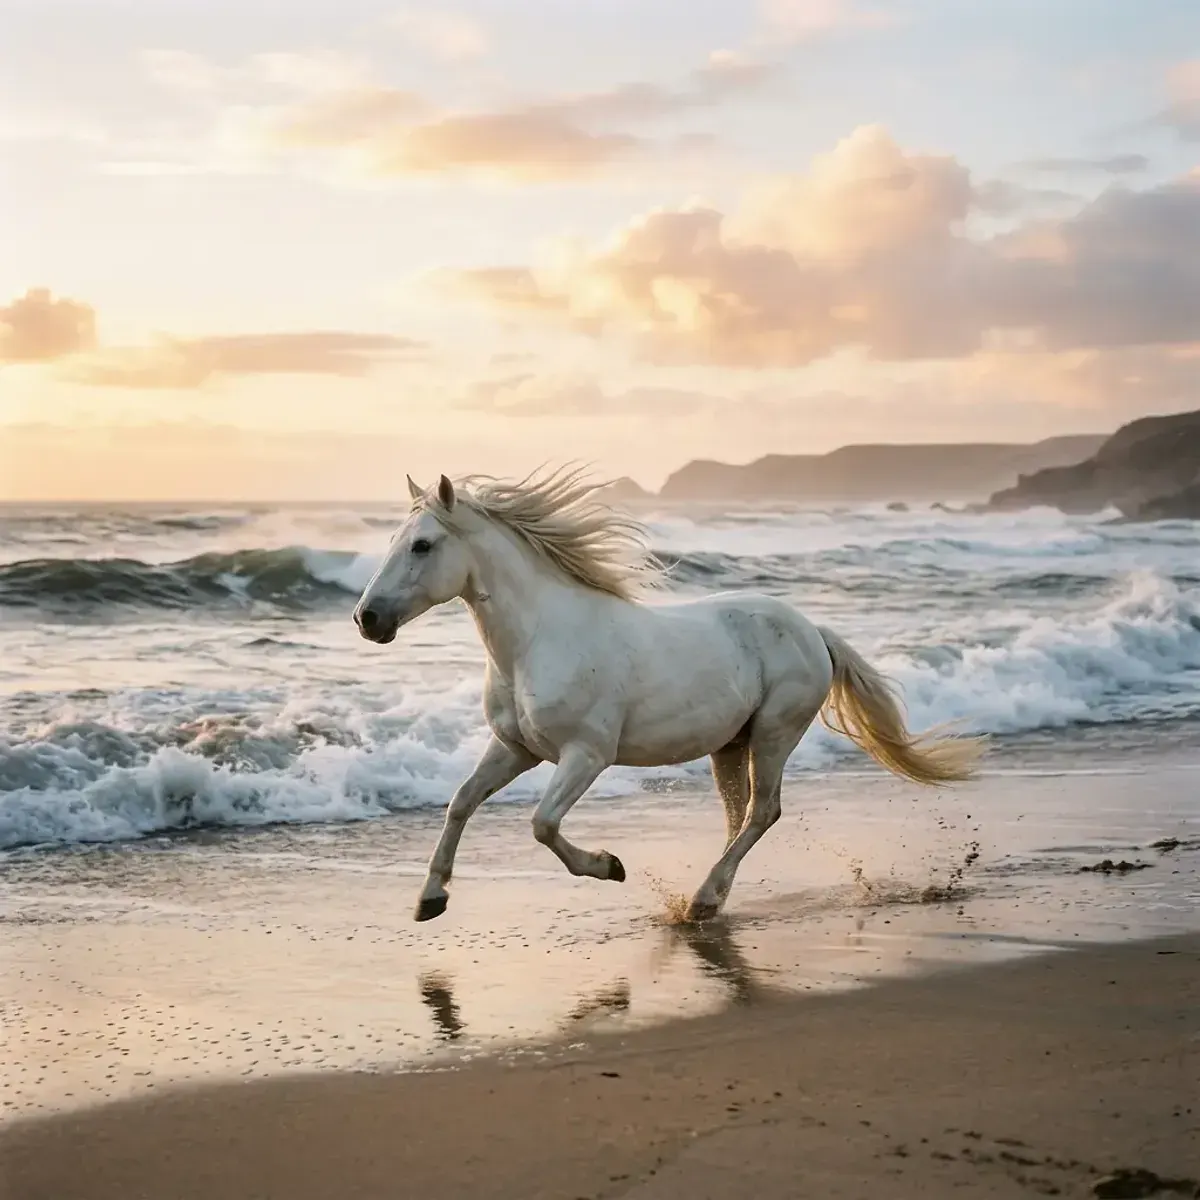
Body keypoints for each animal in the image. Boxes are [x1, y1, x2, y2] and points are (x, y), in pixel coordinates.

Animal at [353, 467, 986, 924]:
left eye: (422, 546)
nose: (367, 618)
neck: (537, 640)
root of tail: (813, 631)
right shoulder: (516, 748)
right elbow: (461, 802)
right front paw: (430, 899)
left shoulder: (586, 755)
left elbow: (541, 824)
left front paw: (610, 866)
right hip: (730, 745)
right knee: (738, 816)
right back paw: (710, 896)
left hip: (775, 732)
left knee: (763, 811)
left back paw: (704, 899)